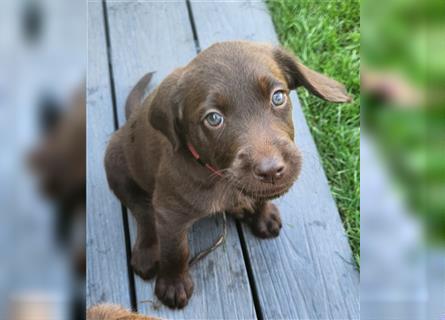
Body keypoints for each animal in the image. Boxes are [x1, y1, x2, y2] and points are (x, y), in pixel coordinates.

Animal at [104, 40, 350, 308]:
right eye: (214, 118)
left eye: (278, 97)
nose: (271, 170)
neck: (217, 175)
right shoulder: (169, 213)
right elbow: (175, 250)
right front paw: (173, 284)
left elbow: (260, 197)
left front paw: (263, 215)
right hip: (115, 165)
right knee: (143, 211)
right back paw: (148, 251)